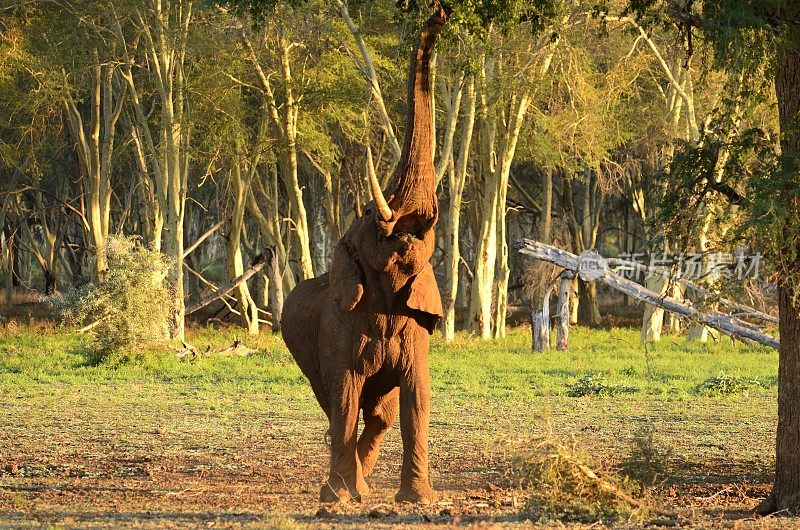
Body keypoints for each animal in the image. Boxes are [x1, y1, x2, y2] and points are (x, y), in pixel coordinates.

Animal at [282, 6, 446, 502]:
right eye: (373, 215)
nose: (440, 12)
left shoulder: (416, 330)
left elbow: (416, 397)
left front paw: (419, 500)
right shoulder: (338, 330)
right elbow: (344, 396)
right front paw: (335, 497)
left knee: (379, 413)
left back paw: (362, 483)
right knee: (341, 407)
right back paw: (348, 487)